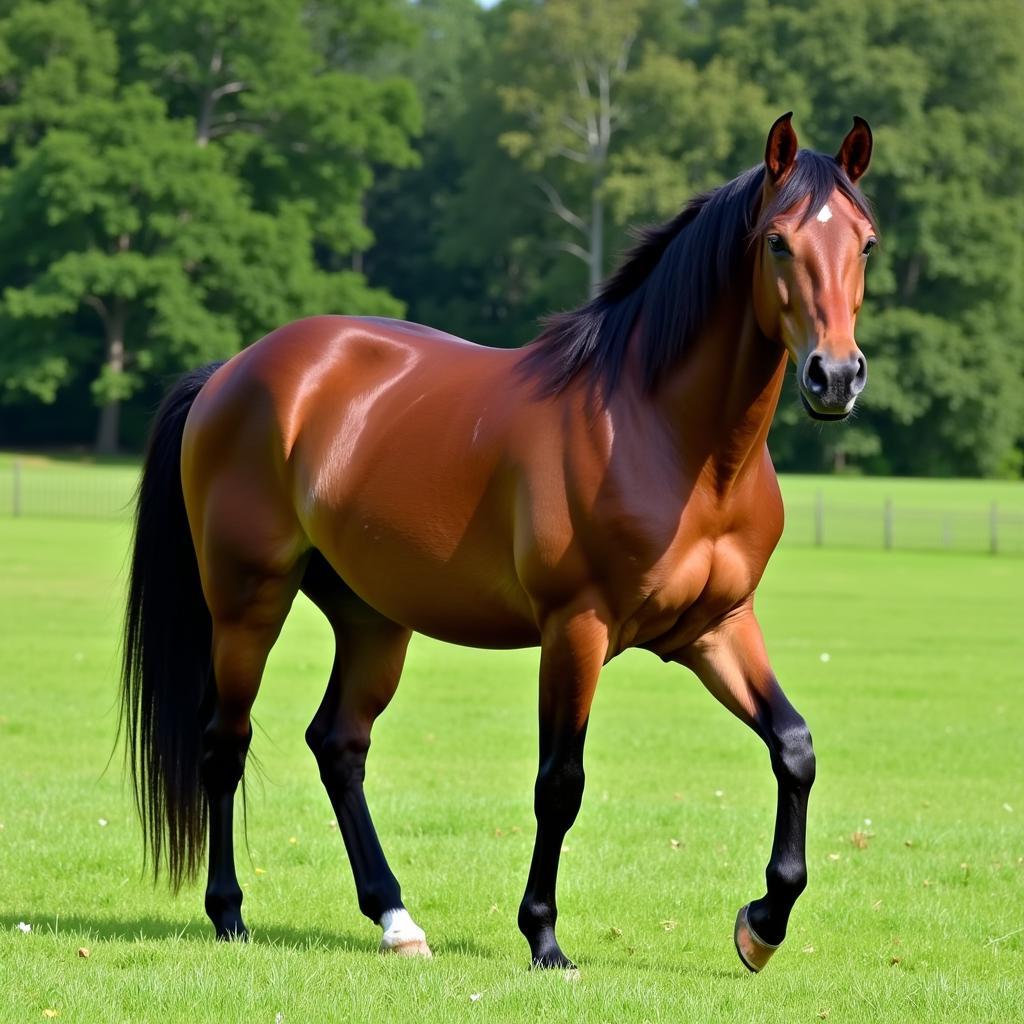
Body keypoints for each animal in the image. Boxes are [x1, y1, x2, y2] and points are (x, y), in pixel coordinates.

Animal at [119, 112, 872, 966]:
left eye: (866, 243)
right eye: (778, 241)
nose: (835, 376)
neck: (669, 438)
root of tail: (233, 370)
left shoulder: (716, 627)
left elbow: (794, 747)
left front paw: (764, 923)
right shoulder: (575, 629)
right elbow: (560, 783)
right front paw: (544, 936)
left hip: (373, 618)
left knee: (338, 745)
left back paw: (396, 918)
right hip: (249, 603)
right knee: (226, 742)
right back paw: (230, 914)